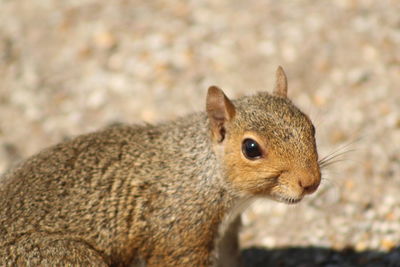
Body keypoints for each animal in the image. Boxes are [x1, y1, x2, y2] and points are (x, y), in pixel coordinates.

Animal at [0, 66, 318, 266]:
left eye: (311, 126)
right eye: (251, 148)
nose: (310, 182)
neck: (201, 171)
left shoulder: (226, 235)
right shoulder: (178, 235)